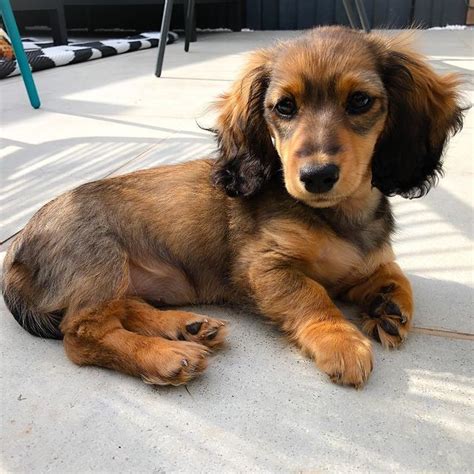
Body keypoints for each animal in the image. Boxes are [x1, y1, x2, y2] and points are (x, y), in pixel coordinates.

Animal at [1, 25, 464, 386]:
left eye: (360, 101)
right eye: (284, 107)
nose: (316, 176)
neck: (336, 215)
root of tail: (16, 248)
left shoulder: (366, 260)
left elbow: (395, 273)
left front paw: (388, 303)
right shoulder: (263, 268)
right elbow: (312, 295)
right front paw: (342, 341)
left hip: (118, 280)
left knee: (123, 310)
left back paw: (185, 327)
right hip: (100, 258)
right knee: (80, 335)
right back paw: (165, 356)